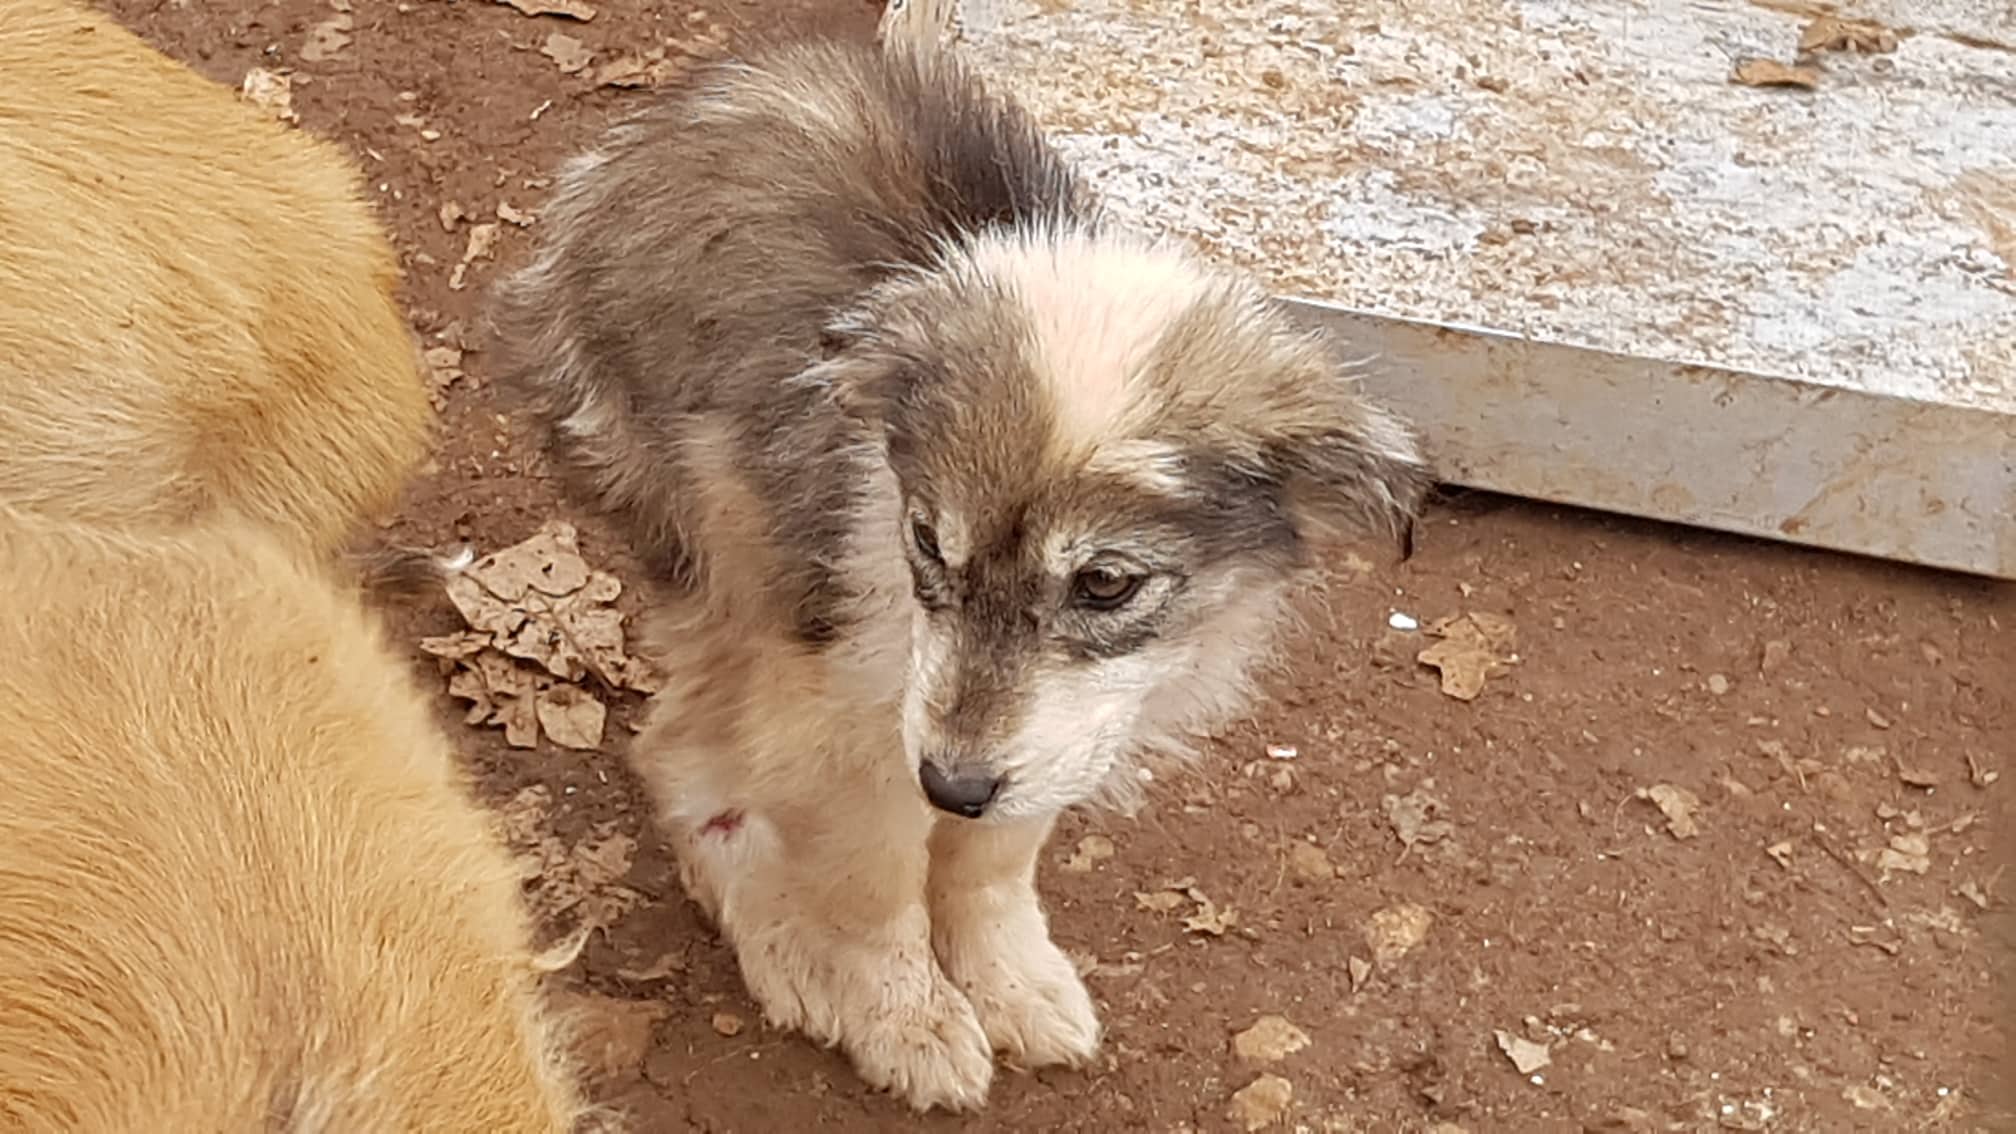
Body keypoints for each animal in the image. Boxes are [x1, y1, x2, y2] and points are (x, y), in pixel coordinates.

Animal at [494, 35, 1432, 1111]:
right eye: (928, 543)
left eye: (1105, 585)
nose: (949, 783)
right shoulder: (849, 708)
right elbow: (875, 886)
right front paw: (904, 1017)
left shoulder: (1056, 732)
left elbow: (992, 860)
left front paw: (1010, 981)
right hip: (728, 548)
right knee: (680, 748)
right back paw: (781, 934)